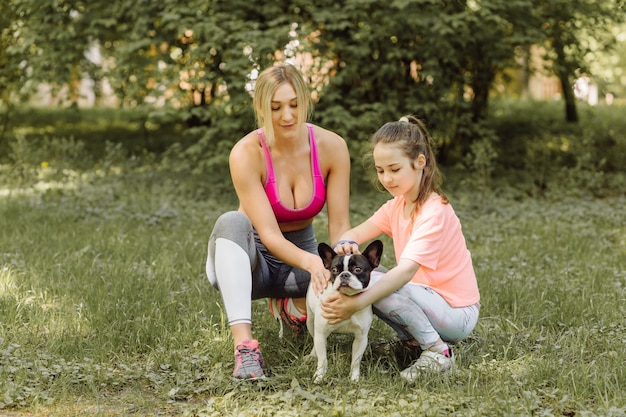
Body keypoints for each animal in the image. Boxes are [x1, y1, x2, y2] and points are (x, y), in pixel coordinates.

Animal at [306, 239, 382, 382]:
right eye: (334, 270)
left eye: (358, 269)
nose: (344, 275)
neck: (346, 298)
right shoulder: (321, 333)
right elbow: (323, 359)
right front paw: (319, 376)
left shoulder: (361, 337)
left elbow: (356, 361)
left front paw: (354, 378)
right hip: (310, 321)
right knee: (314, 341)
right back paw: (312, 356)